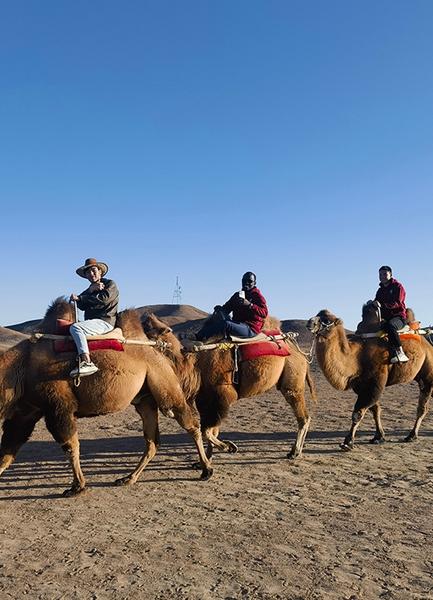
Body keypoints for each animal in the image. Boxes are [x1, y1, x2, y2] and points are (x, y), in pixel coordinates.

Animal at [0, 298, 213, 494]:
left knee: (191, 424)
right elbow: (8, 449)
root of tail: (161, 347)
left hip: (164, 383)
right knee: (152, 441)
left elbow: (70, 445)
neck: (20, 368)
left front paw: (77, 486)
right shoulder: (26, 411)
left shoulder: (58, 408)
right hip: (145, 399)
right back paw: (128, 478)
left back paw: (206, 470)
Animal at [143, 312, 316, 462]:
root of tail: (298, 351)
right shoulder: (205, 399)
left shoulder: (221, 395)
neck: (194, 364)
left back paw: (294, 452)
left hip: (292, 380)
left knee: (303, 416)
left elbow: (207, 431)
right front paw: (208, 458)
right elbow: (211, 429)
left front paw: (229, 447)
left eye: (149, 333)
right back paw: (296, 451)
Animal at [306, 310, 432, 450]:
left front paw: (348, 442)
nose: (310, 322)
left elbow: (358, 412)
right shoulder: (361, 386)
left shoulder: (374, 383)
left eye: (327, 320)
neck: (356, 357)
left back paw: (412, 435)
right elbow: (375, 410)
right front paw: (378, 437)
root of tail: (428, 343)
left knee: (422, 407)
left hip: (427, 374)